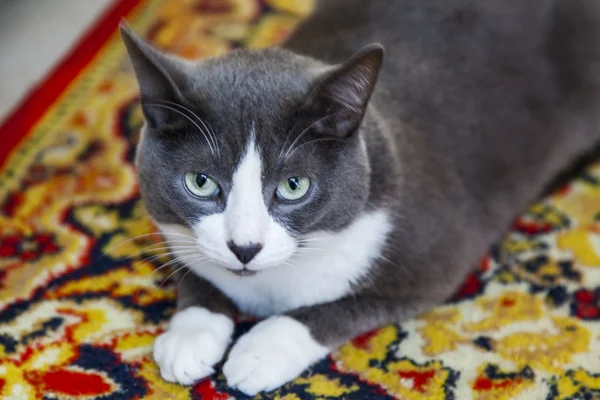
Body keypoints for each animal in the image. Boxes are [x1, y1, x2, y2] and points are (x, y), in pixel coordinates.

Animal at [119, 0, 600, 394]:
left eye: (294, 186)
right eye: (200, 182)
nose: (245, 247)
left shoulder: (433, 258)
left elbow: (343, 307)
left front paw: (261, 351)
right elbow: (194, 268)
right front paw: (190, 337)